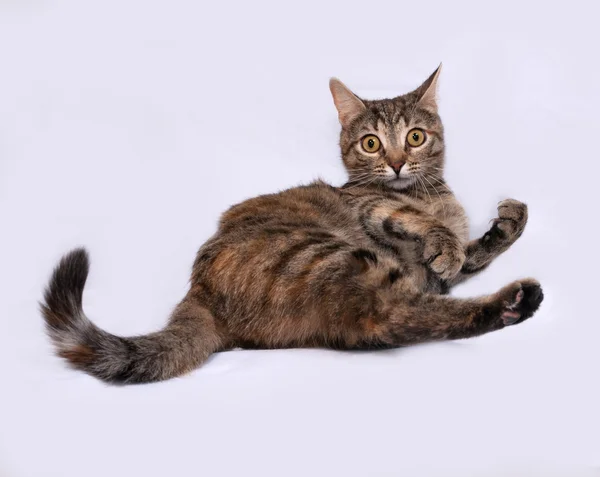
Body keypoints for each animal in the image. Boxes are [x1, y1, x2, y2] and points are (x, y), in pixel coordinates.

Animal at [38, 66, 544, 384]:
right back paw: (512, 303)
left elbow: (477, 248)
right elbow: (416, 222)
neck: (429, 194)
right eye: (371, 143)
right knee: (387, 318)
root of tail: (199, 291)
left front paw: (508, 222)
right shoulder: (371, 206)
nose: (399, 162)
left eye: (415, 137)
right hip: (330, 254)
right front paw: (446, 241)